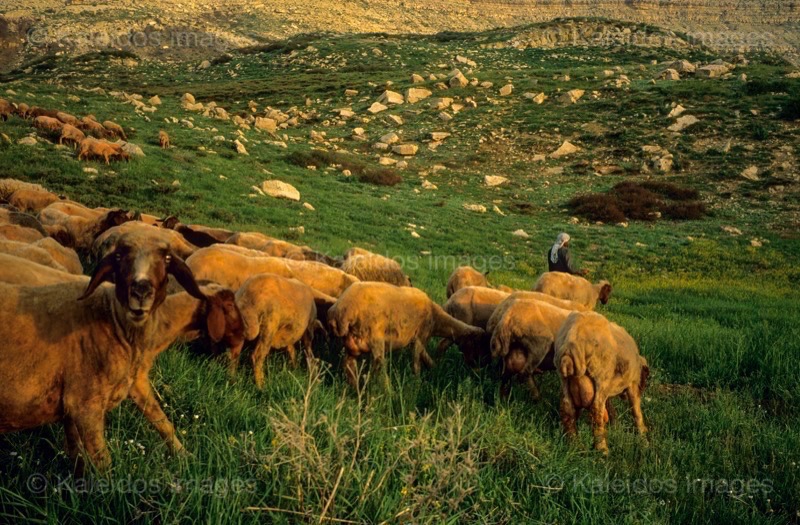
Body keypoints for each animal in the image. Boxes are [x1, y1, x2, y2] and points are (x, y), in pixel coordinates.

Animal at [0, 232, 244, 470]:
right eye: (230, 306)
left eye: (167, 259)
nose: (141, 290)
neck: (115, 321)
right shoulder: (84, 404)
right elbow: (102, 463)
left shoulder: (133, 382)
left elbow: (161, 421)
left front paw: (185, 455)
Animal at [326, 280, 488, 386]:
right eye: (477, 346)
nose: (478, 370)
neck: (436, 319)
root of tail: (340, 311)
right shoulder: (421, 337)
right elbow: (416, 361)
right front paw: (417, 382)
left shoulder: (416, 339)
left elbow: (424, 356)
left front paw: (433, 368)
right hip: (374, 337)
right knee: (379, 365)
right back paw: (387, 391)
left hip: (352, 344)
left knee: (349, 365)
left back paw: (355, 389)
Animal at [556, 310, 648, 452]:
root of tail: (571, 344)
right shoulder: (632, 383)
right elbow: (636, 409)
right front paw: (643, 436)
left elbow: (610, 406)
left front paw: (615, 425)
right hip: (600, 378)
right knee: (596, 411)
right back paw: (602, 449)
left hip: (564, 380)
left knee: (568, 408)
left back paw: (574, 444)